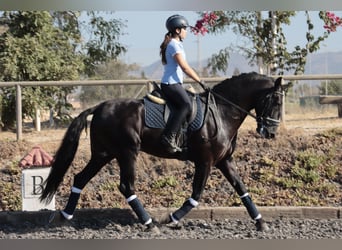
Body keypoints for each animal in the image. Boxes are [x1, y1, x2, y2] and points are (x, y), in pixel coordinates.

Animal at [39, 72, 286, 232]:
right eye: (275, 101)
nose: (271, 132)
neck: (222, 112)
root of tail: (99, 107)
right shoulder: (205, 161)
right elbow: (196, 195)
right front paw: (172, 218)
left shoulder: (224, 160)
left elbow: (242, 189)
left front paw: (261, 222)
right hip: (127, 152)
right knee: (126, 186)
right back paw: (149, 224)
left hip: (103, 154)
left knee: (80, 178)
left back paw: (65, 216)